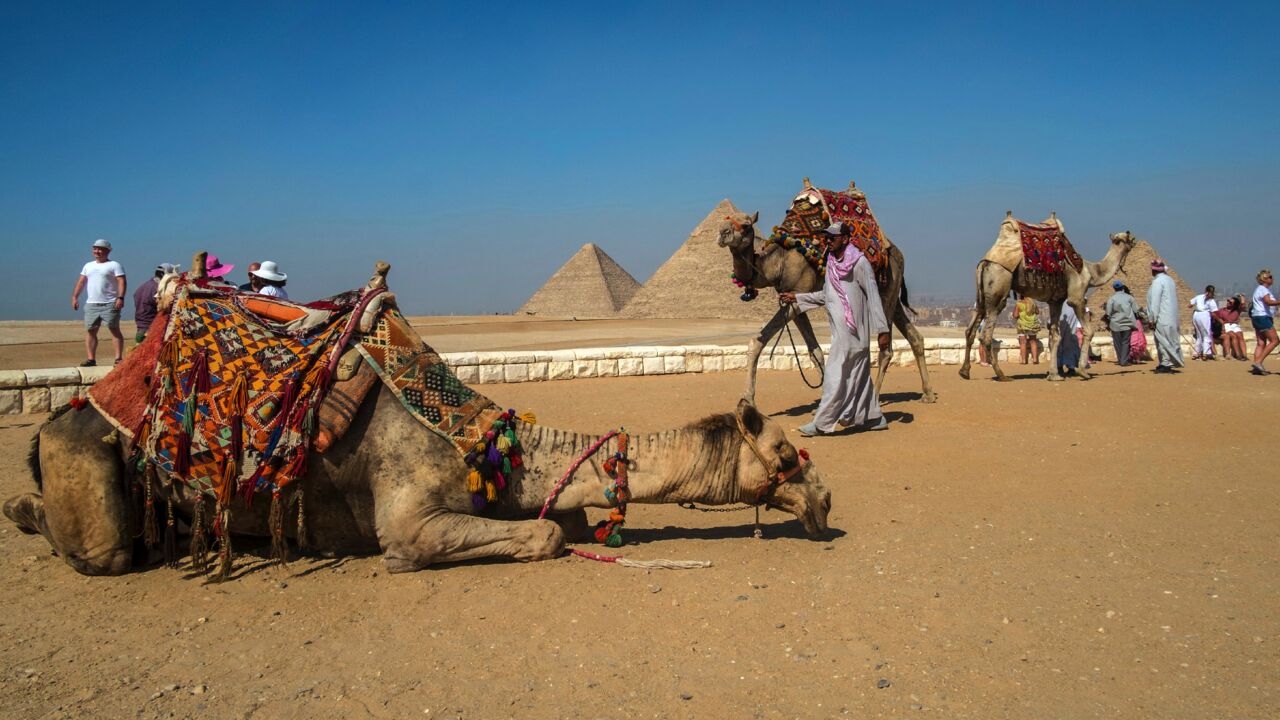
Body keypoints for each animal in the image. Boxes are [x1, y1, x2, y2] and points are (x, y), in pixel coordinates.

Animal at [7, 263, 829, 576]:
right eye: (787, 454)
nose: (825, 503)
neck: (485, 441)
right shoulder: (409, 519)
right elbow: (541, 537)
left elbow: (560, 520)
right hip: (93, 476)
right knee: (103, 547)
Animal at [721, 179, 942, 404]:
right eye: (724, 221)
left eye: (747, 225)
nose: (723, 233)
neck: (779, 261)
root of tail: (898, 253)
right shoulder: (792, 299)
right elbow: (815, 351)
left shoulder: (797, 297)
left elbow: (757, 341)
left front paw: (746, 400)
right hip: (891, 291)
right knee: (915, 337)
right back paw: (928, 394)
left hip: (886, 290)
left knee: (886, 348)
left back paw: (876, 396)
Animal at [962, 210, 1141, 381]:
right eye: (1130, 238)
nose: (1136, 241)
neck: (1091, 272)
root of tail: (986, 262)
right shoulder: (1077, 297)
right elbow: (1088, 331)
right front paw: (1082, 371)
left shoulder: (1055, 301)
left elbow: (1054, 336)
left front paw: (1054, 374)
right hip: (998, 287)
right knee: (986, 335)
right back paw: (1001, 375)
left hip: (981, 295)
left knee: (971, 329)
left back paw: (964, 372)